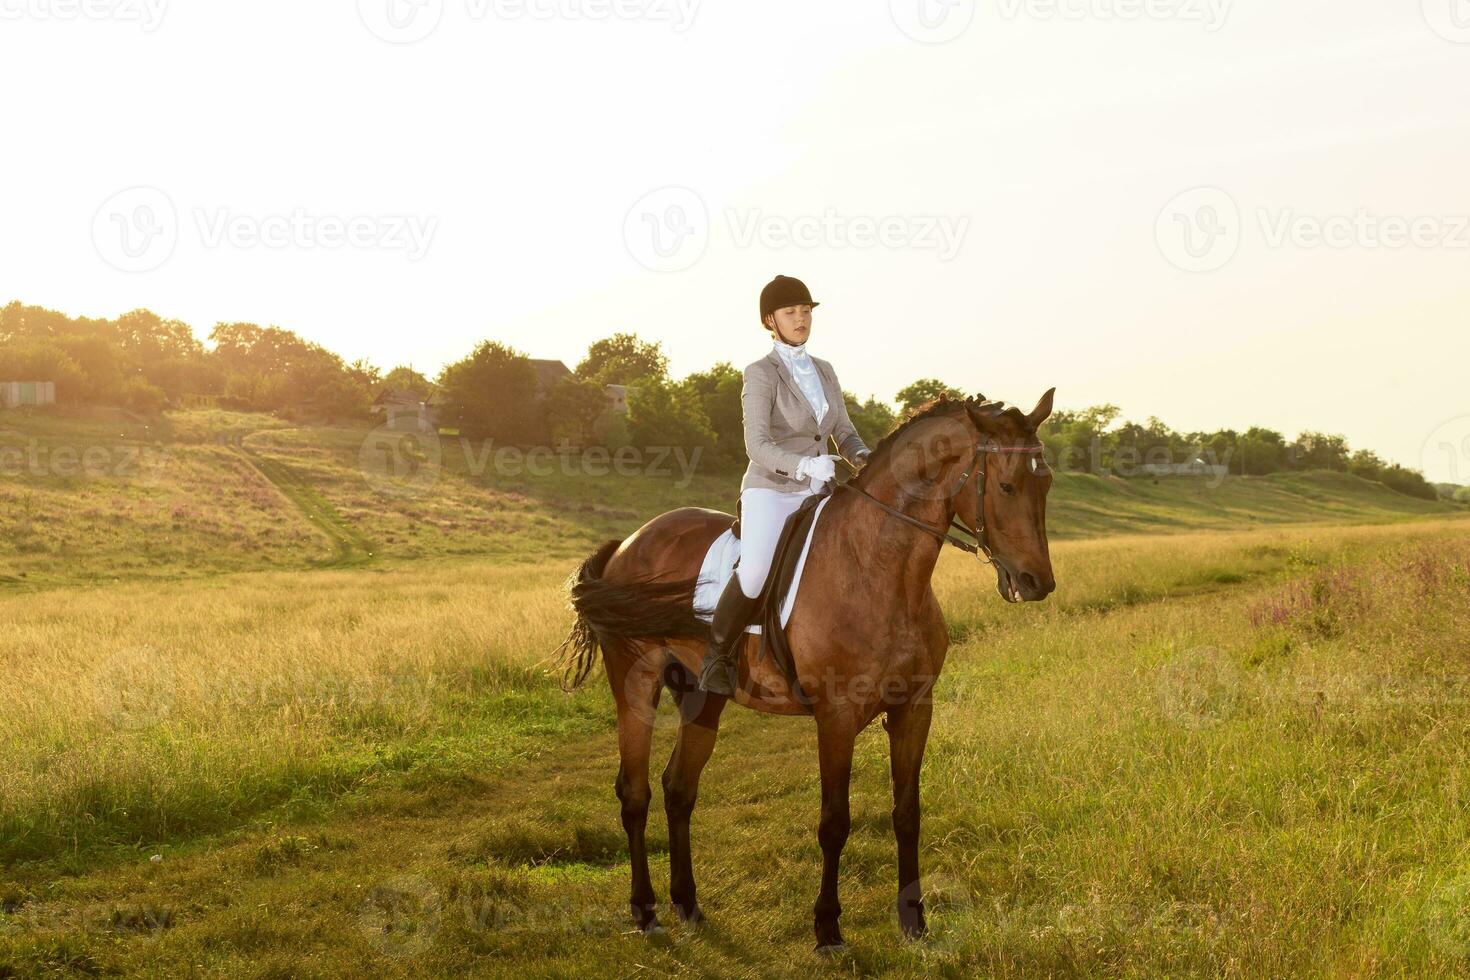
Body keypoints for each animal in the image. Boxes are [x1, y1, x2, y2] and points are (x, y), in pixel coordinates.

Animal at [555, 390, 1052, 952]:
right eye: (1007, 485)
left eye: (1047, 482)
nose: (1036, 582)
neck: (878, 566)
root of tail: (627, 543)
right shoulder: (836, 718)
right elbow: (834, 822)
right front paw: (828, 927)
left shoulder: (913, 710)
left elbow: (907, 814)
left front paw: (914, 922)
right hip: (636, 684)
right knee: (634, 792)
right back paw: (646, 910)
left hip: (703, 697)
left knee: (679, 788)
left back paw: (688, 905)